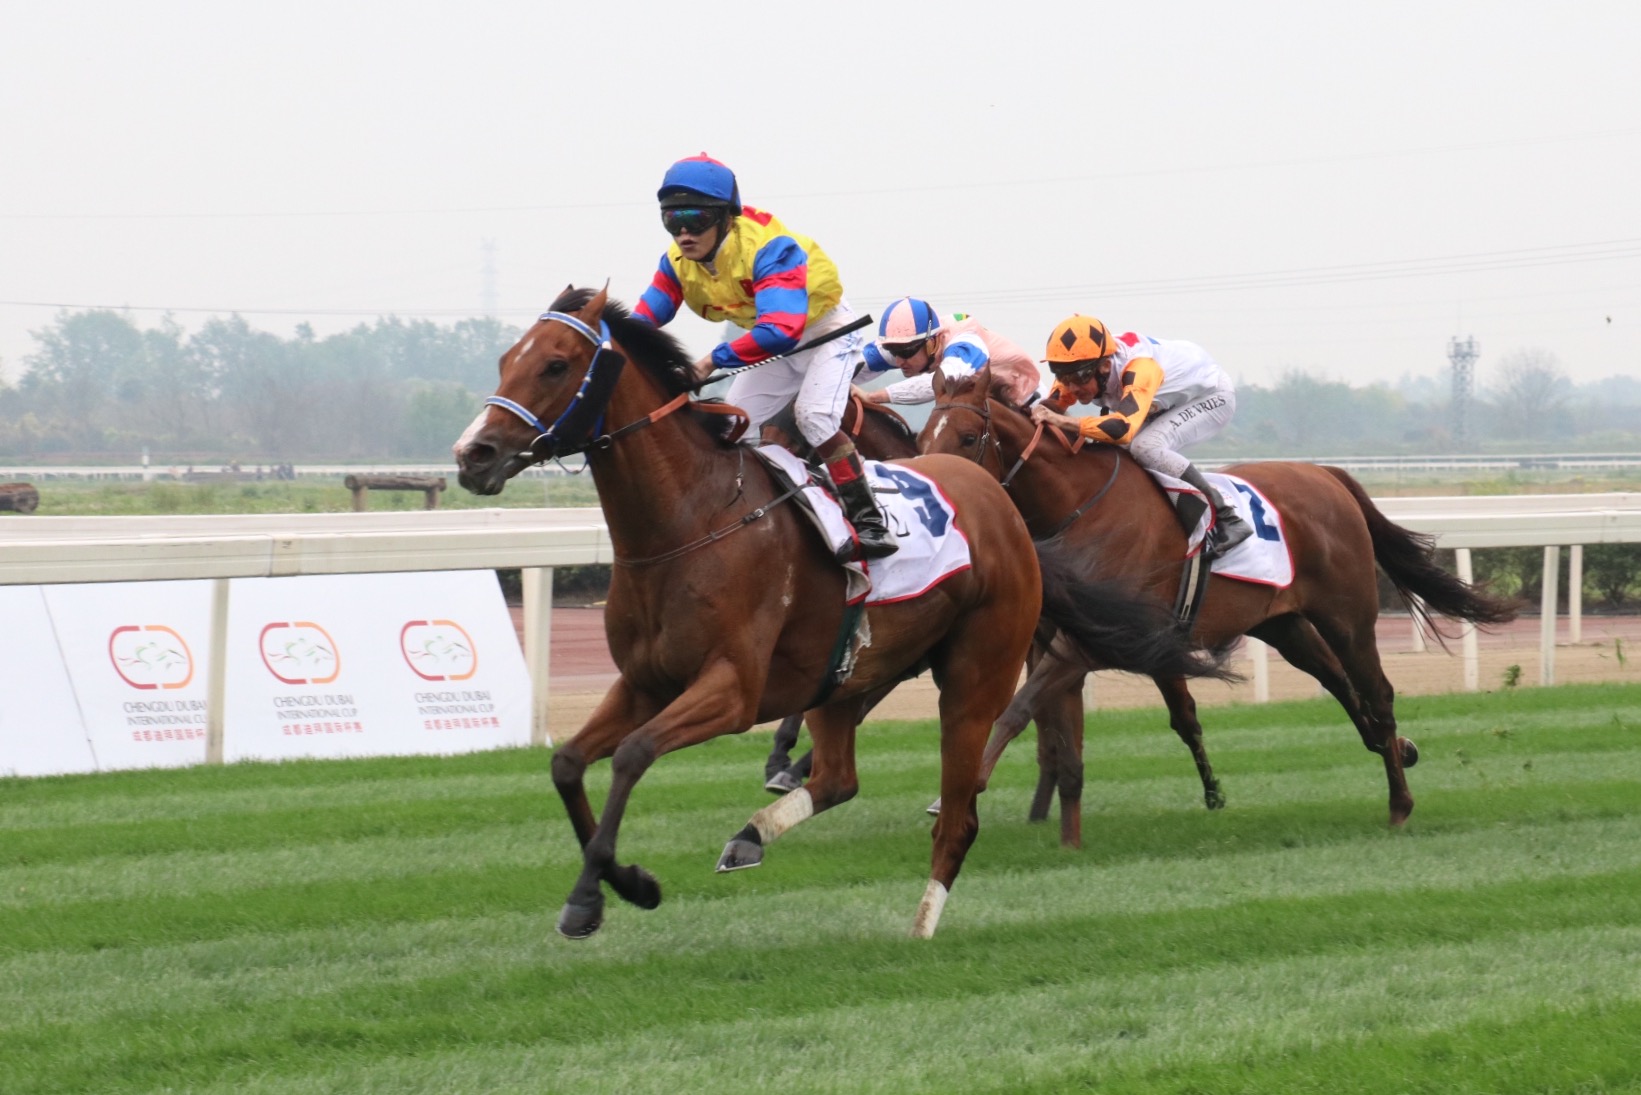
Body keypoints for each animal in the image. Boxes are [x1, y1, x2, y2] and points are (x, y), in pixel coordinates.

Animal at [453, 287, 1221, 939]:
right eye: (506, 358)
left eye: (556, 364)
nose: (473, 454)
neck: (692, 522)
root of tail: (1004, 511)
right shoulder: (644, 681)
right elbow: (567, 763)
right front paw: (623, 882)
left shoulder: (731, 689)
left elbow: (634, 754)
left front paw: (594, 895)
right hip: (847, 670)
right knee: (840, 776)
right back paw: (753, 833)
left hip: (974, 672)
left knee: (961, 809)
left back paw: (921, 924)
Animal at [919, 364, 1517, 835]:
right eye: (924, 432)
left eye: (969, 437)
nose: (934, 482)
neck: (1079, 504)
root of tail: (1328, 476)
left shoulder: (1088, 643)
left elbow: (1016, 711)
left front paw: (959, 793)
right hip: (1285, 624)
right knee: (1342, 686)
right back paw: (1399, 750)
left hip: (1347, 616)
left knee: (1378, 693)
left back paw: (1400, 802)